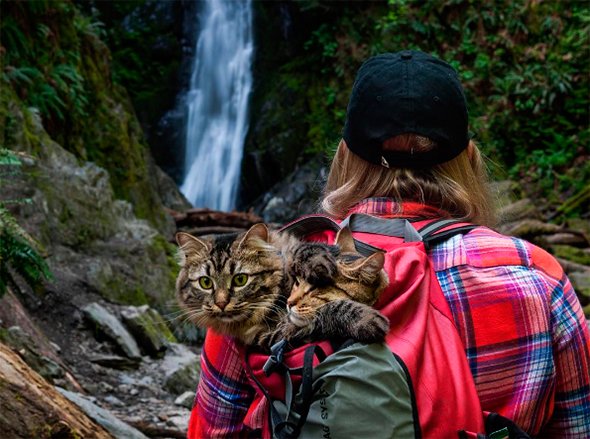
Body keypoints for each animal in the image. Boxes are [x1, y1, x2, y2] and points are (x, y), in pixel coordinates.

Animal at [175, 223, 388, 350]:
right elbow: (329, 310)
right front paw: (368, 320)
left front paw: (318, 264)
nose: (221, 304)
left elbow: (307, 249)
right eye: (206, 283)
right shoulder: (272, 335)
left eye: (240, 280)